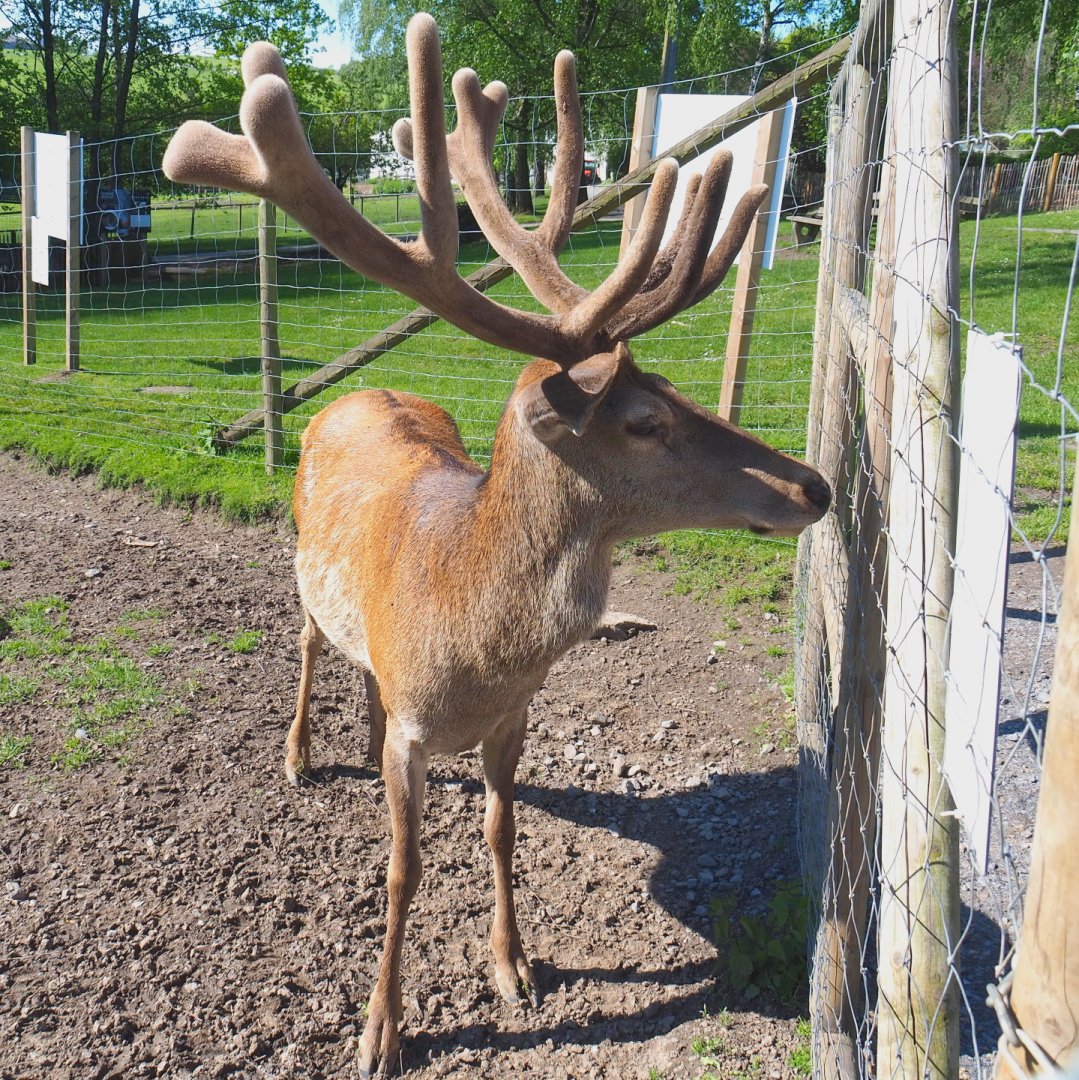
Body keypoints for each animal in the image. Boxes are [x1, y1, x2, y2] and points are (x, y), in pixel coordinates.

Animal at [163, 13, 830, 1076]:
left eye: (676, 390)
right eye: (643, 421)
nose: (816, 485)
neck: (478, 639)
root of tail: (355, 391)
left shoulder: (516, 716)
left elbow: (502, 828)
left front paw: (516, 967)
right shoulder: (417, 735)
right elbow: (402, 869)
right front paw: (381, 1028)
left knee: (365, 676)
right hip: (301, 559)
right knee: (307, 644)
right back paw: (302, 754)